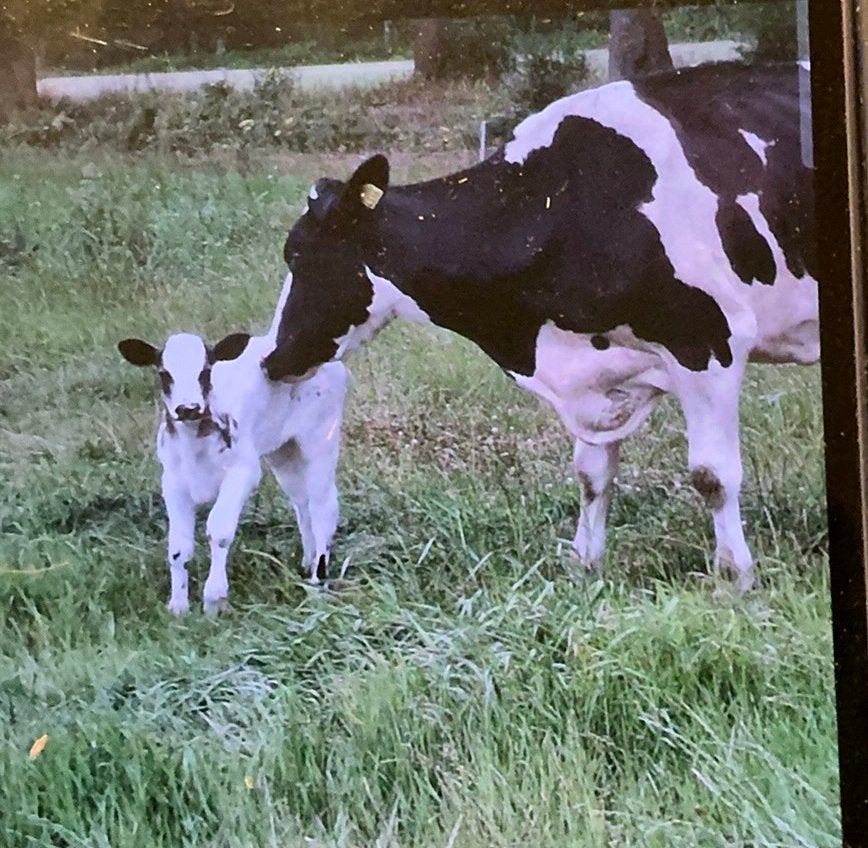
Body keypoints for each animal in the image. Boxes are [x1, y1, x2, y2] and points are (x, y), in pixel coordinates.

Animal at [119, 330, 348, 614]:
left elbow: (219, 530)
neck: (195, 444)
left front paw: (214, 600)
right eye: (164, 373)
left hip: (320, 436)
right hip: (283, 450)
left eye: (206, 371)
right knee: (301, 502)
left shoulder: (243, 470)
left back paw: (318, 582)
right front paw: (178, 607)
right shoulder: (172, 481)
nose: (188, 408)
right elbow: (178, 546)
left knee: (323, 506)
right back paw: (307, 562)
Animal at [261, 62, 817, 591]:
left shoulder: (708, 342)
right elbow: (592, 476)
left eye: (299, 255)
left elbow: (712, 475)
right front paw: (585, 565)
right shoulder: (597, 376)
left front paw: (735, 578)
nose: (273, 357)